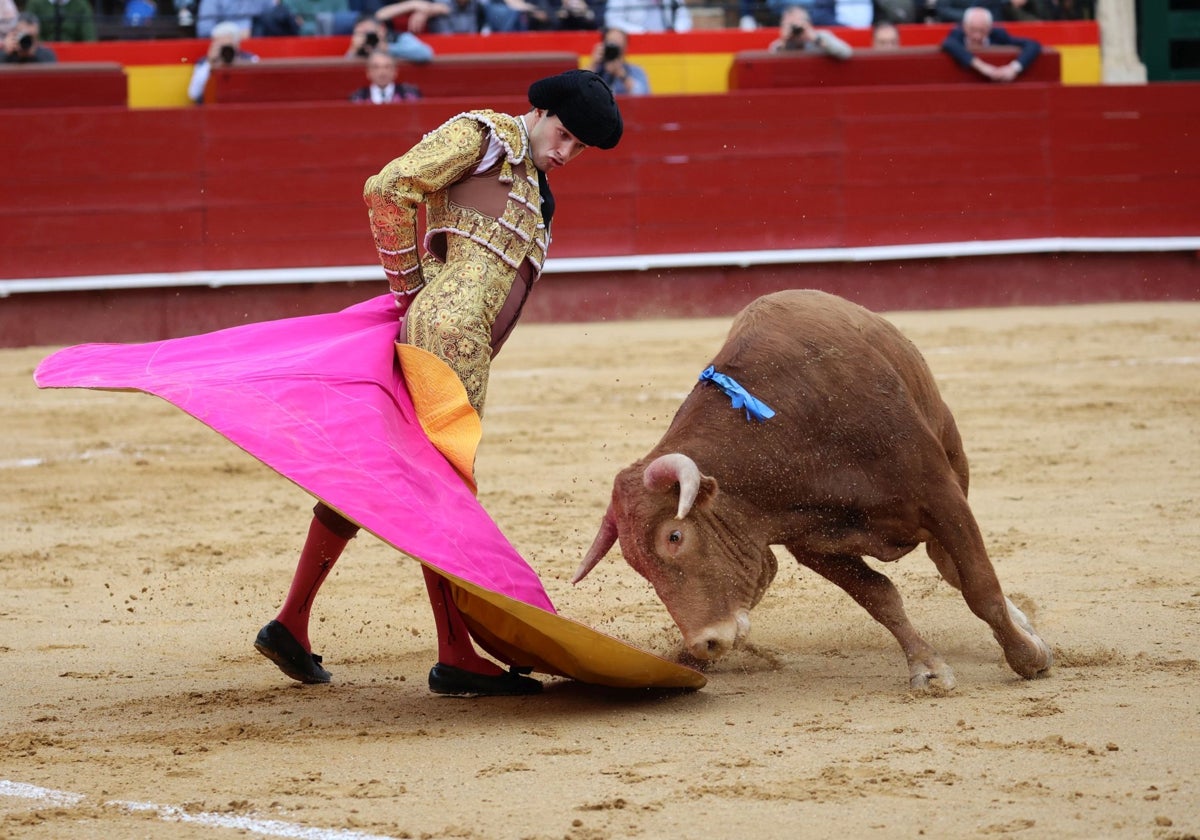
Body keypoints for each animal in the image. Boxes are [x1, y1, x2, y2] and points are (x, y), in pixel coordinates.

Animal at [571, 289, 1051, 691]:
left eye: (674, 536)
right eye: (636, 564)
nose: (702, 644)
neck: (791, 435)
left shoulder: (941, 497)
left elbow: (980, 587)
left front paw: (1028, 657)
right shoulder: (811, 545)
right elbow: (881, 598)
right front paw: (927, 668)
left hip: (954, 458)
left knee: (950, 565)